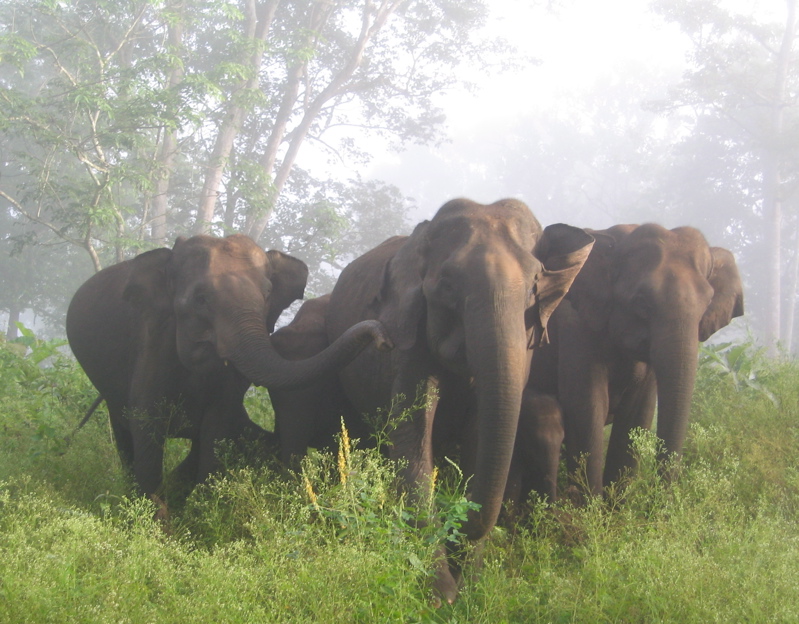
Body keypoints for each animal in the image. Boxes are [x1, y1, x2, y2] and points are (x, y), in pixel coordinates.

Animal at [65, 233, 392, 513]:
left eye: (267, 293)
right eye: (200, 298)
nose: (382, 336)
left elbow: (217, 427)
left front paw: (197, 513)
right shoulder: (152, 343)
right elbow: (147, 422)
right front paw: (154, 518)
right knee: (123, 432)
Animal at [322, 198, 595, 603]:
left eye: (535, 285)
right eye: (447, 285)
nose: (460, 525)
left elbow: (481, 438)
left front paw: (472, 588)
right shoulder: (409, 340)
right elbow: (411, 442)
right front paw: (440, 596)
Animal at [522, 223, 744, 498]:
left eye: (706, 305)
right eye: (642, 303)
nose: (660, 500)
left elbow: (638, 414)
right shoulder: (575, 328)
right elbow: (588, 406)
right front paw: (590, 507)